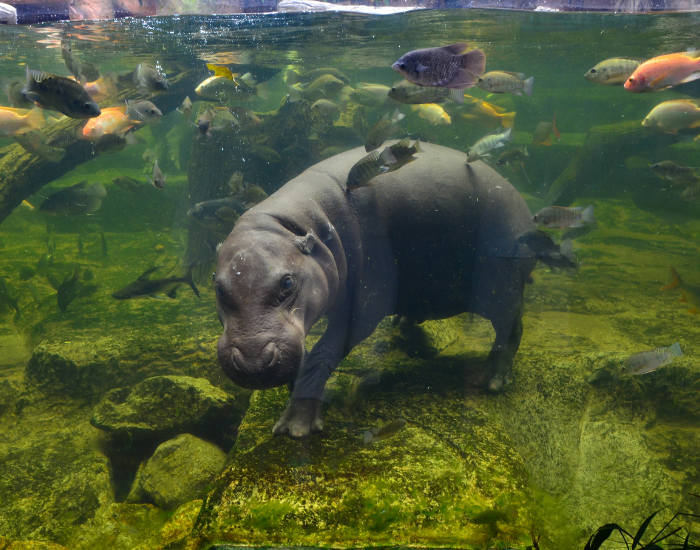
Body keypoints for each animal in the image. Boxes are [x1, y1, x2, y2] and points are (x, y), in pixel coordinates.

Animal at [214, 142, 537, 438]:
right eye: (218, 287)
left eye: (287, 283)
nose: (253, 363)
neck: (298, 223)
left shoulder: (363, 308)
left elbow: (323, 353)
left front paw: (295, 426)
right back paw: (405, 323)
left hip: (500, 283)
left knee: (511, 326)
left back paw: (491, 380)